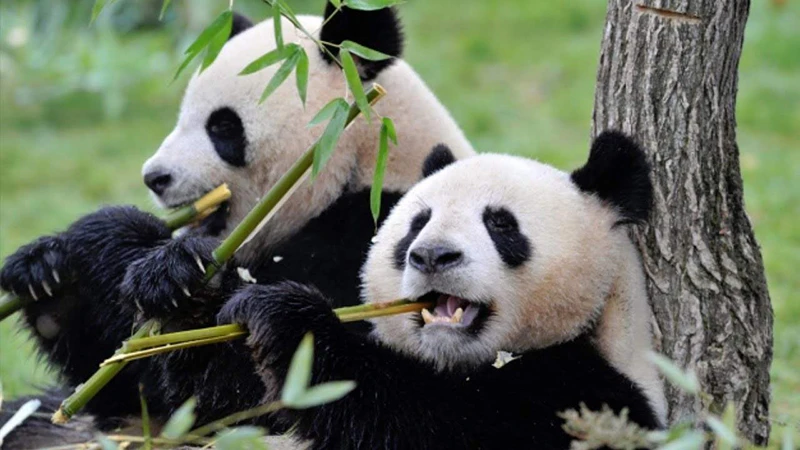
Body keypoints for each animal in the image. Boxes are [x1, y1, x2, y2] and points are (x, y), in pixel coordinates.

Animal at [0, 1, 474, 442]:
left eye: (223, 126)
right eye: (182, 118)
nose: (155, 177)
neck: (363, 162)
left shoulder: (367, 240)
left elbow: (247, 392)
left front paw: (168, 271)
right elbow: (132, 387)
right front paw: (45, 270)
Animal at [214, 131, 663, 449]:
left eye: (501, 224)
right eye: (418, 222)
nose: (432, 255)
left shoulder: (583, 394)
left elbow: (426, 421)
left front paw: (287, 318)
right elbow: (235, 408)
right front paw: (203, 282)